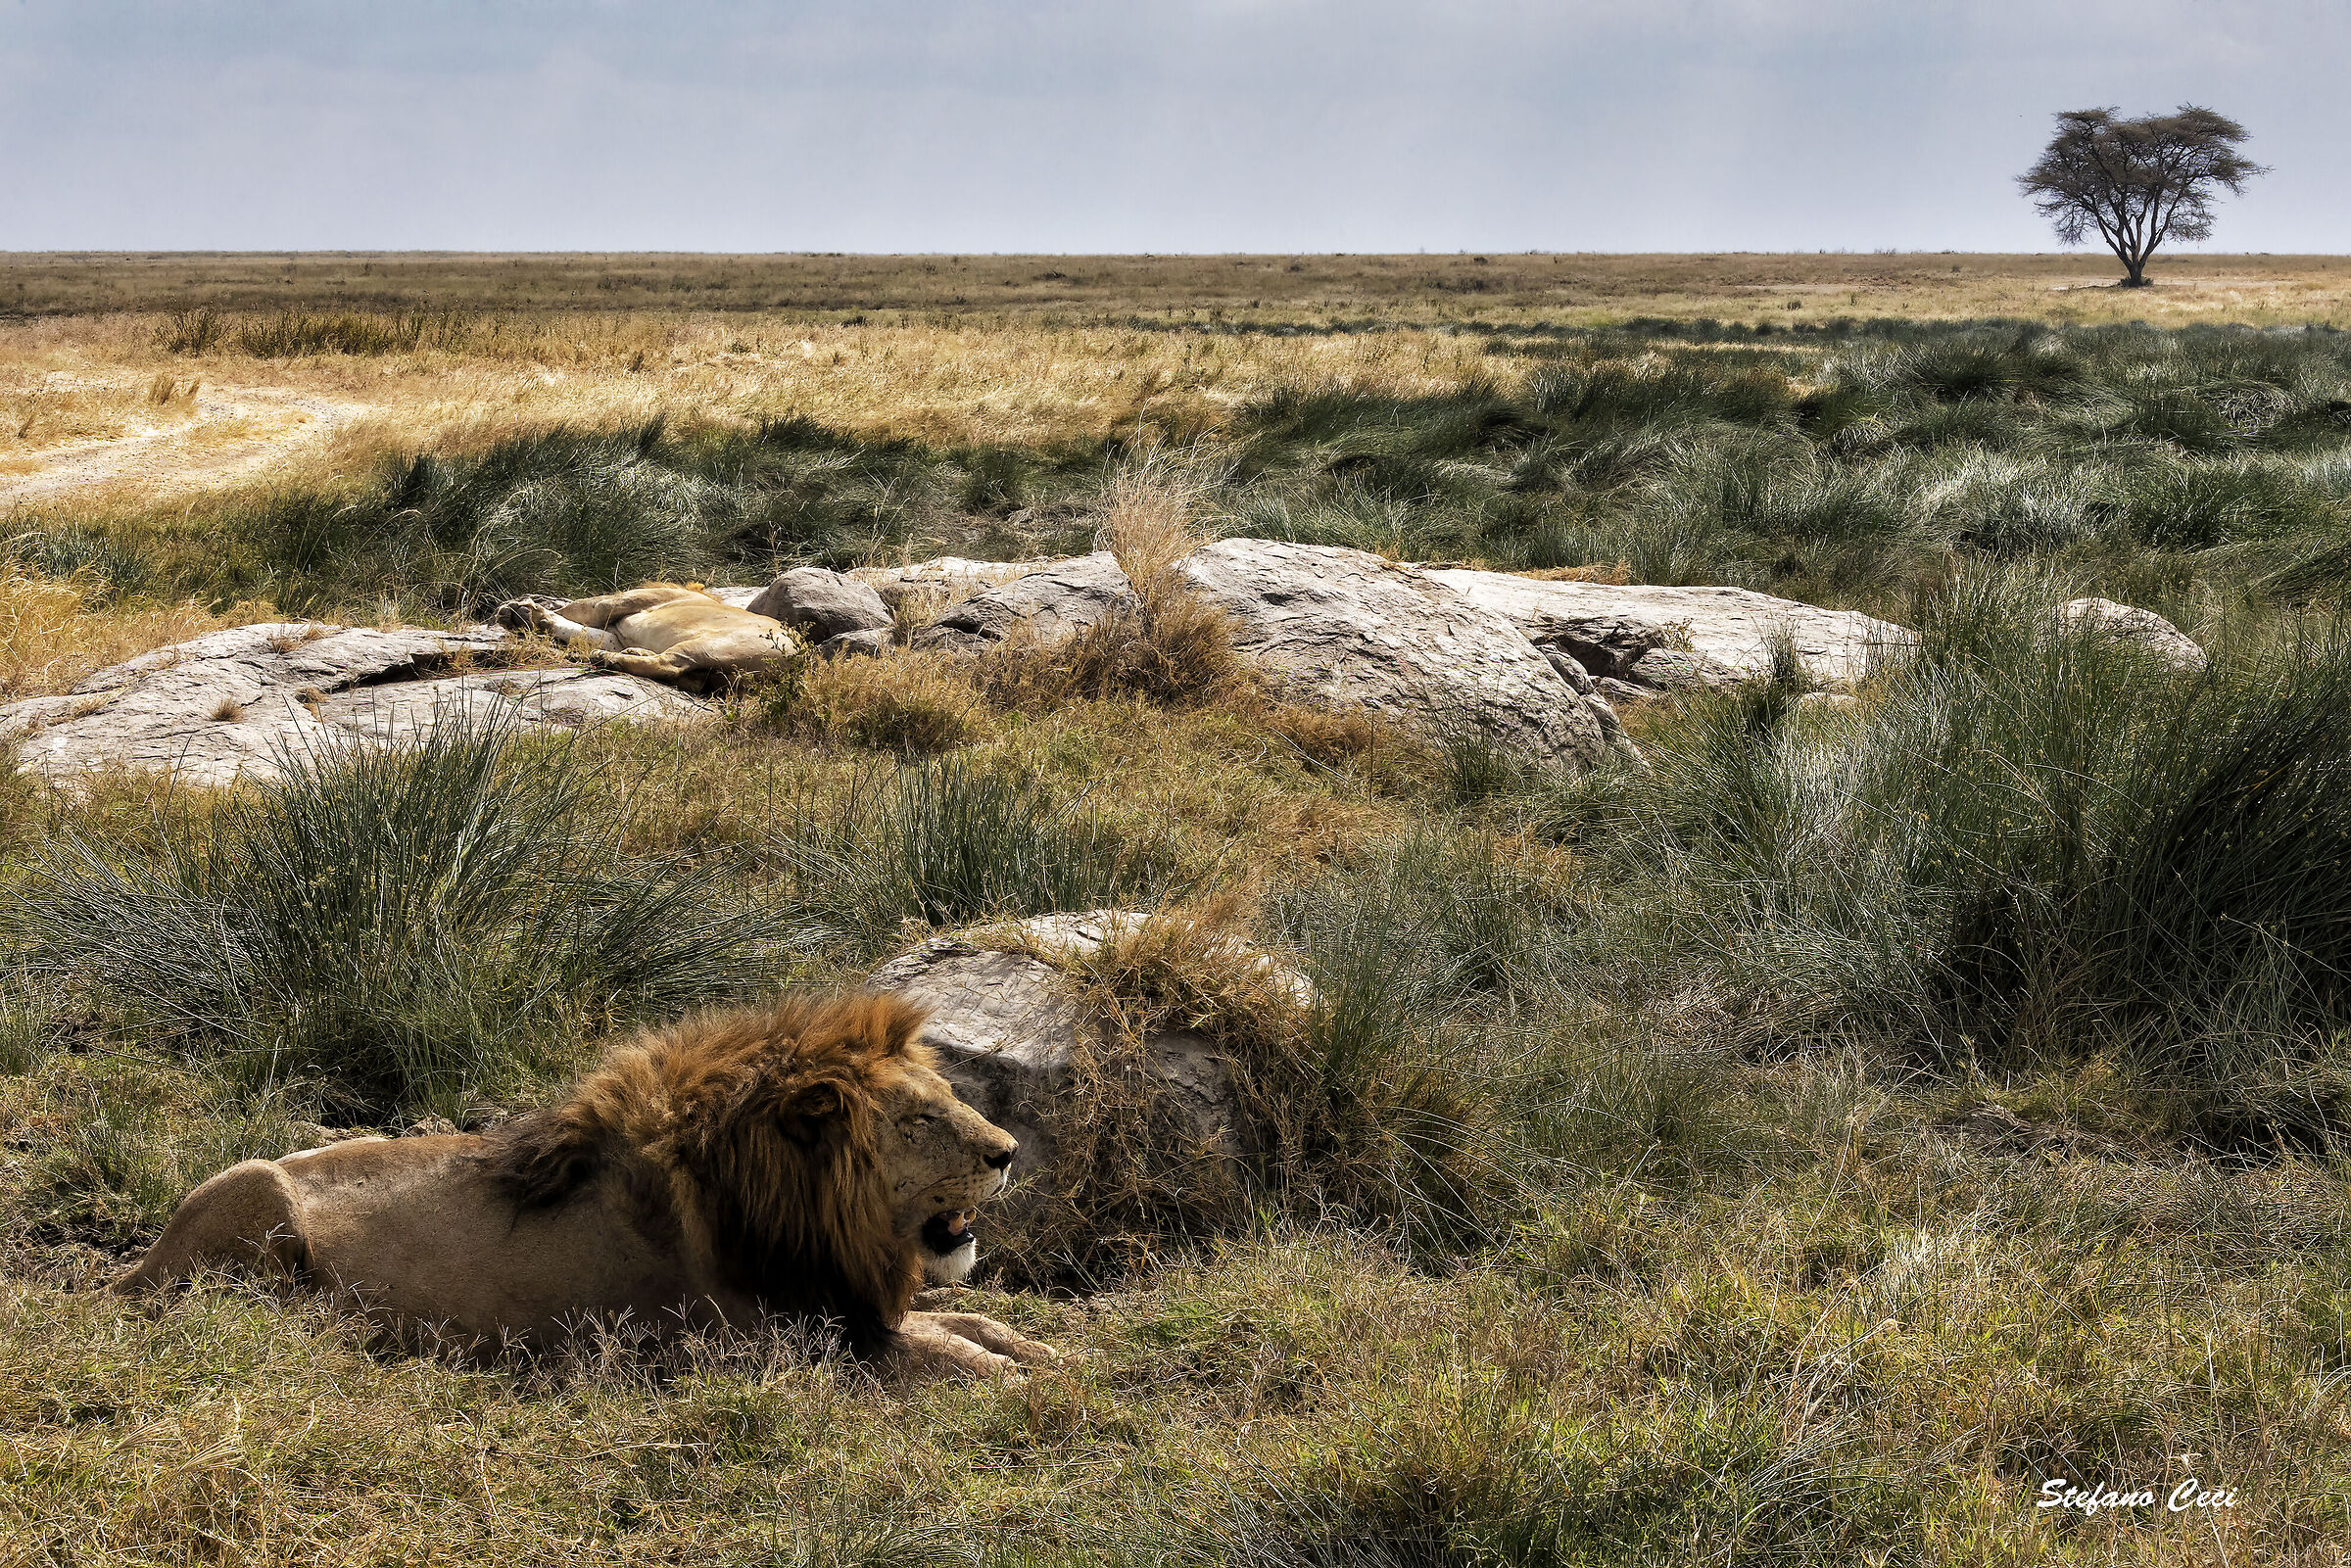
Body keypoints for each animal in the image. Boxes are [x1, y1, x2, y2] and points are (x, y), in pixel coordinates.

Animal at [114, 993, 1055, 1380]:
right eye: (922, 1118)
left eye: (949, 1096)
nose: (1010, 1151)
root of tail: (124, 1272)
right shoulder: (773, 1340)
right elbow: (938, 1348)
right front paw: (1033, 1381)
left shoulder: (845, 1304)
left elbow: (958, 1318)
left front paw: (1038, 1349)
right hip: (258, 1191)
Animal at [497, 582, 802, 693]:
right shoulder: (618, 633)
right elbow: (580, 631)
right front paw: (528, 618)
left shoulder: (621, 602)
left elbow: (580, 609)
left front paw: (523, 612)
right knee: (686, 676)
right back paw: (630, 654)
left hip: (713, 645)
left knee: (670, 664)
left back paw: (607, 659)